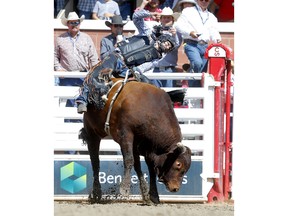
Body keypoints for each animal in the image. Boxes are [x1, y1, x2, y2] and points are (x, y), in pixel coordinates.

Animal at [78, 70, 191, 204]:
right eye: (178, 164)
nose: (175, 188)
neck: (149, 110)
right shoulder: (125, 135)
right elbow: (129, 160)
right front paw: (125, 189)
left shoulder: (146, 145)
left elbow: (149, 167)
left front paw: (152, 195)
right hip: (92, 134)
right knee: (95, 162)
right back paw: (96, 193)